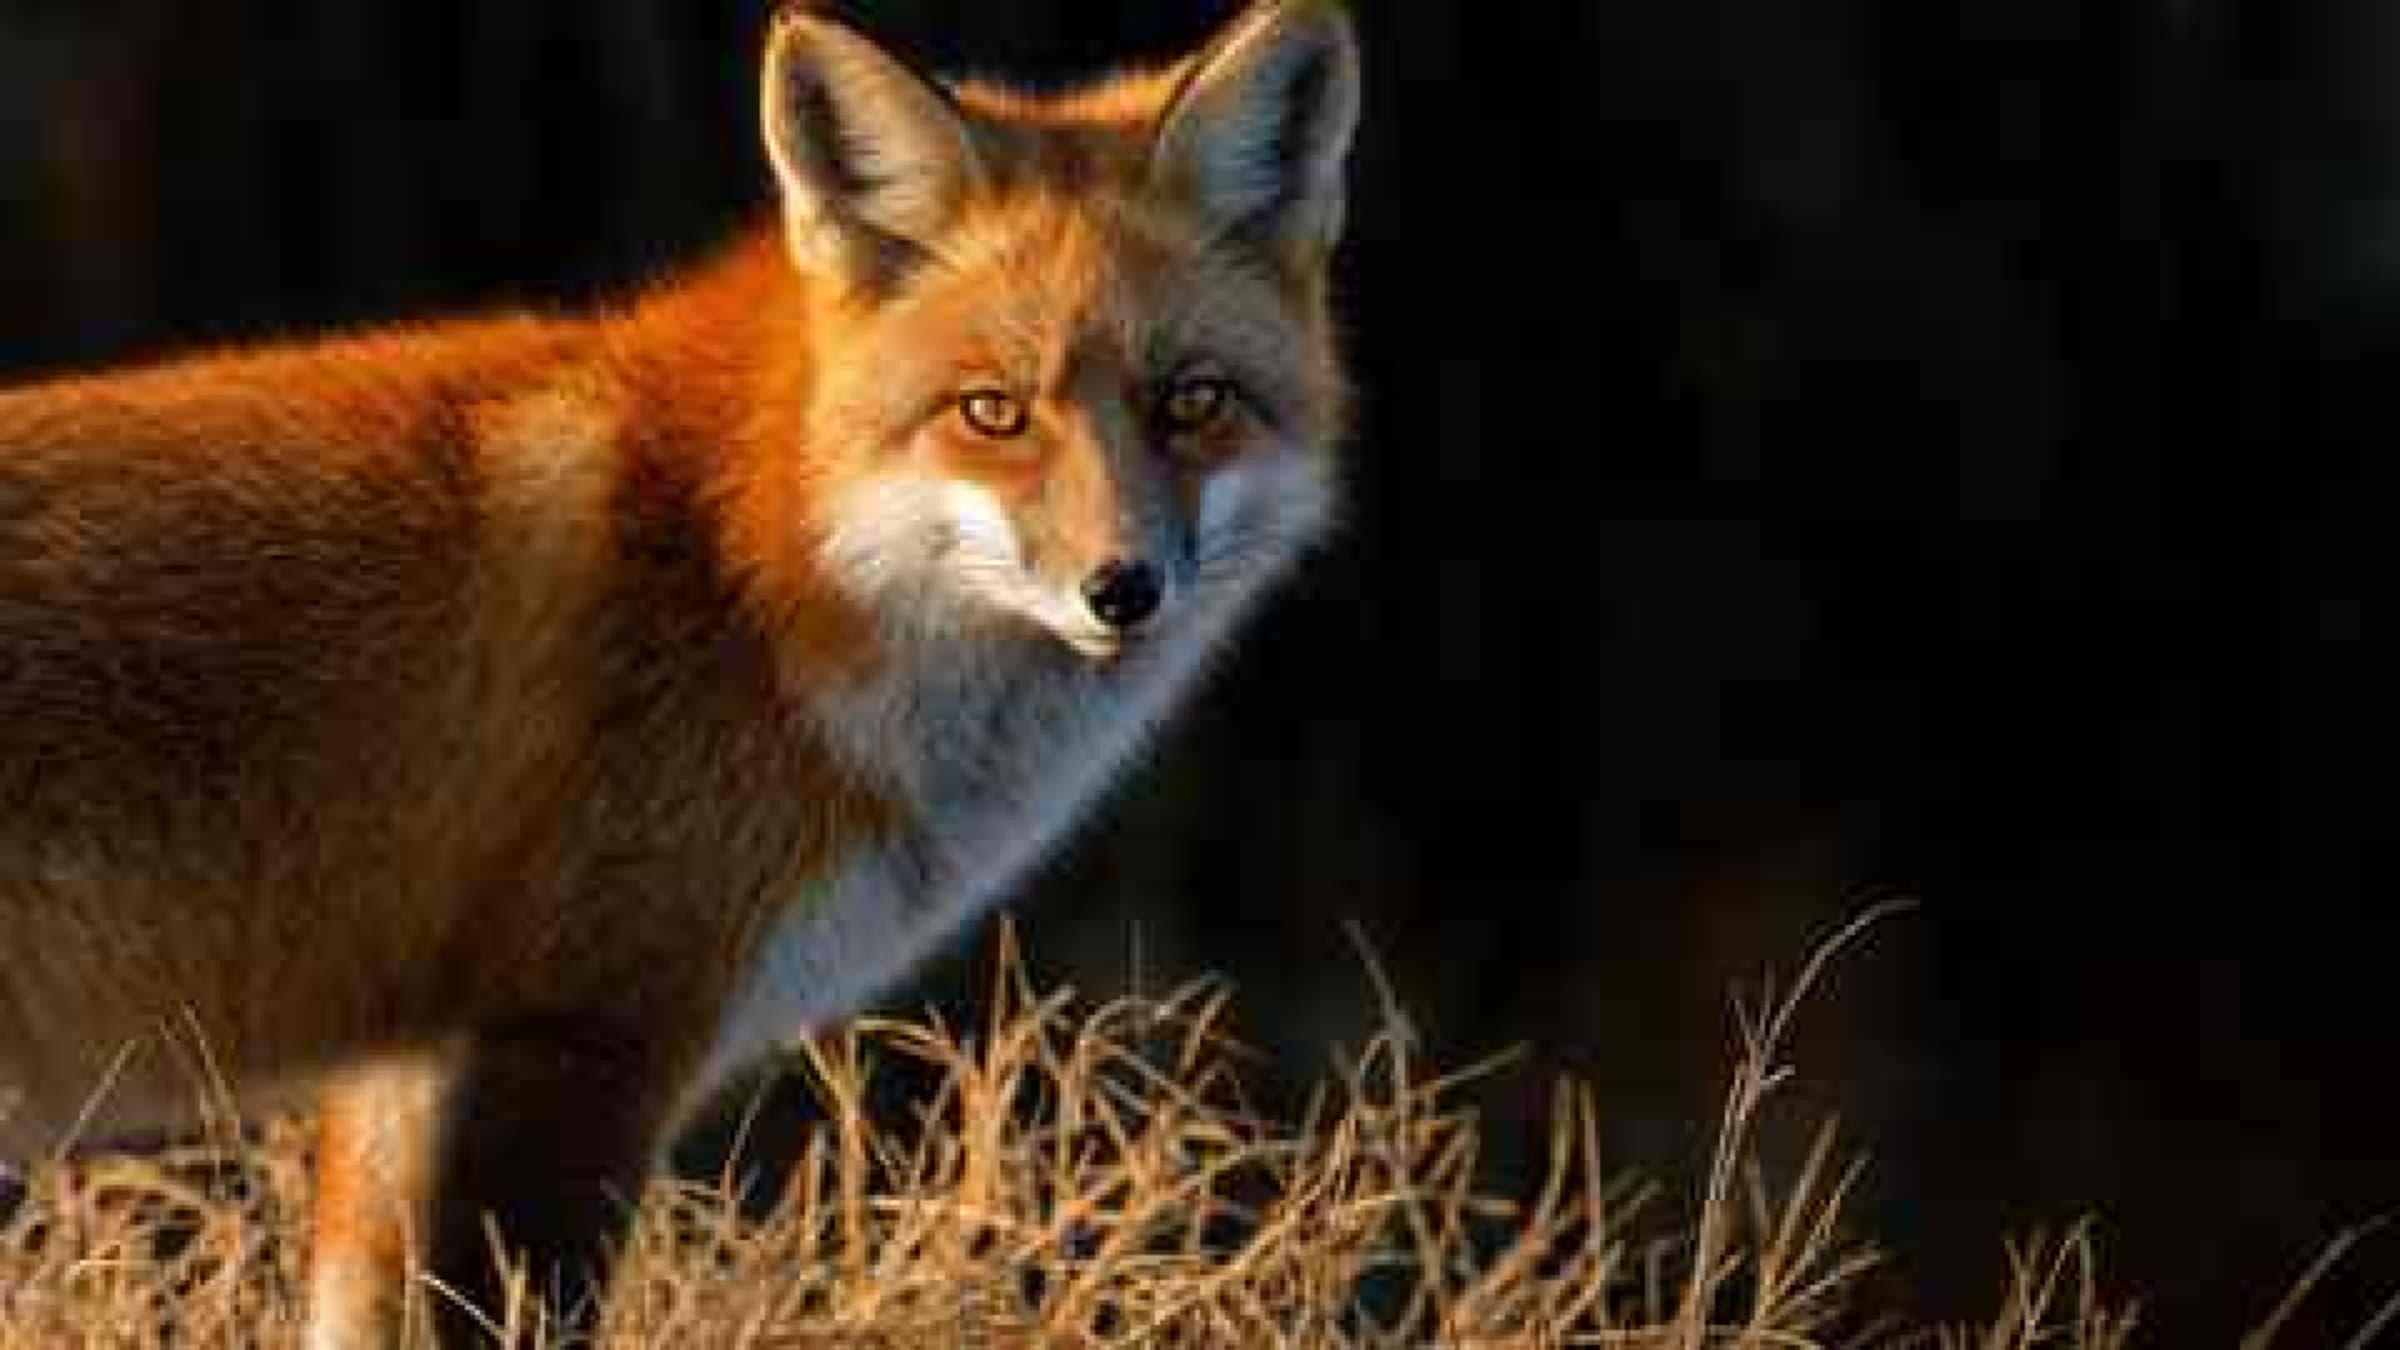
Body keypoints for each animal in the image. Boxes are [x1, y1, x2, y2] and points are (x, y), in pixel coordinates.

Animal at [0, 2, 1359, 1343]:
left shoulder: (403, 1076)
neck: (751, 567)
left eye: (1194, 402)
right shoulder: (577, 1042)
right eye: (992, 412)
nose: (1124, 588)